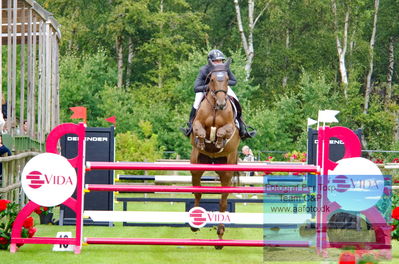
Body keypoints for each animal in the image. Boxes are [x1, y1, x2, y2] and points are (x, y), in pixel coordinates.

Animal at [190, 58, 241, 250]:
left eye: (226, 79)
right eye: (211, 79)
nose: (221, 104)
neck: (215, 110)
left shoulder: (231, 126)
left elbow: (223, 131)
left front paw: (218, 141)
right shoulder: (197, 123)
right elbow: (199, 129)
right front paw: (203, 140)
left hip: (226, 171)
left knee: (223, 201)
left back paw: (220, 236)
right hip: (196, 166)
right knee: (197, 193)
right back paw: (194, 224)